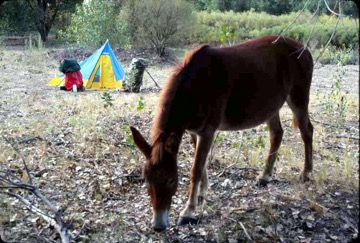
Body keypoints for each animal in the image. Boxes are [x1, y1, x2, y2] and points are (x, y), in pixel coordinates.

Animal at [129, 35, 312, 231]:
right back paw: (265, 176)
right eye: (146, 179)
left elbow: (196, 169)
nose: (158, 225)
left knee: (307, 131)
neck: (196, 86)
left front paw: (188, 212)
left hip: (298, 99)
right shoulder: (194, 131)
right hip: (272, 106)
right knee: (277, 134)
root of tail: (303, 48)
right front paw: (201, 194)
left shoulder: (207, 131)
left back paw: (306, 173)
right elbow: (201, 166)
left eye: (172, 179)